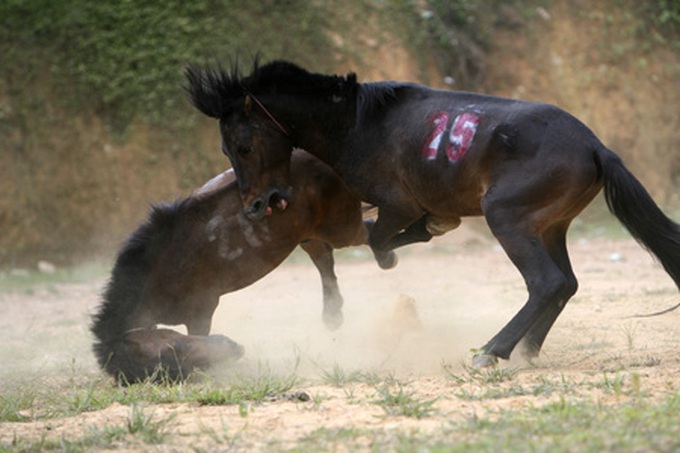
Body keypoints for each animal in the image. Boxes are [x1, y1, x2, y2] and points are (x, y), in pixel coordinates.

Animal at [91, 149, 395, 383]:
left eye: (173, 349)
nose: (234, 348)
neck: (162, 273)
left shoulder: (201, 310)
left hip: (340, 226)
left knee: (366, 233)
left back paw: (385, 257)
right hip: (310, 232)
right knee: (325, 257)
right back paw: (333, 314)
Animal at [185, 59, 680, 367]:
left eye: (243, 146)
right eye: (227, 149)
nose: (253, 206)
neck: (356, 124)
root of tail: (595, 147)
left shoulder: (397, 204)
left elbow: (379, 239)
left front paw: (415, 238)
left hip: (508, 218)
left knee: (547, 283)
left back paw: (493, 351)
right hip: (551, 226)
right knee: (567, 284)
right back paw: (526, 350)